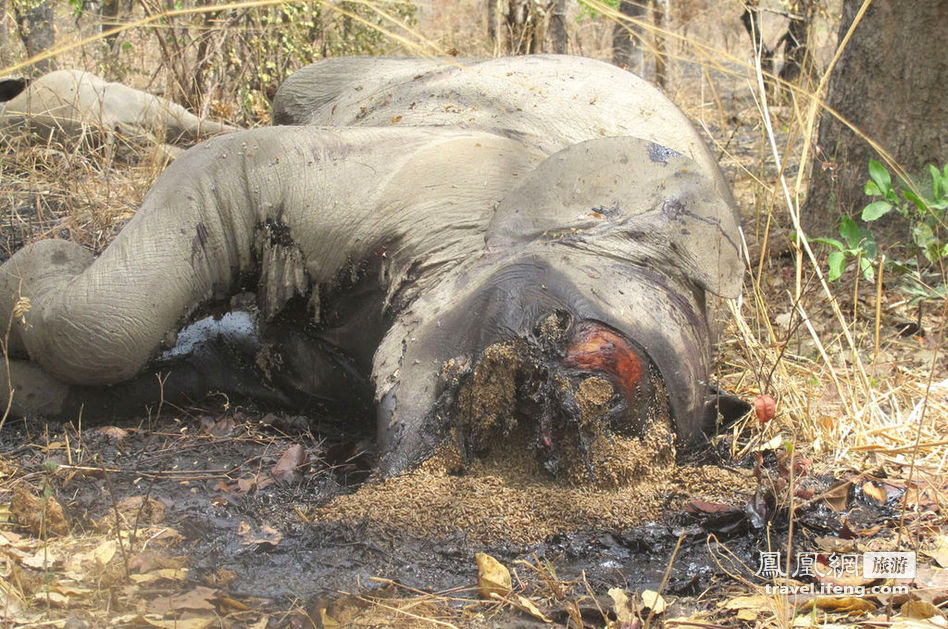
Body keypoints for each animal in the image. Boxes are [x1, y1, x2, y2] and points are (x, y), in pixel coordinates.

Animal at [0, 55, 748, 476]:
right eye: (582, 341)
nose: (564, 435)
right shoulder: (420, 169)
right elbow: (107, 322)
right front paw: (44, 263)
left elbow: (130, 359)